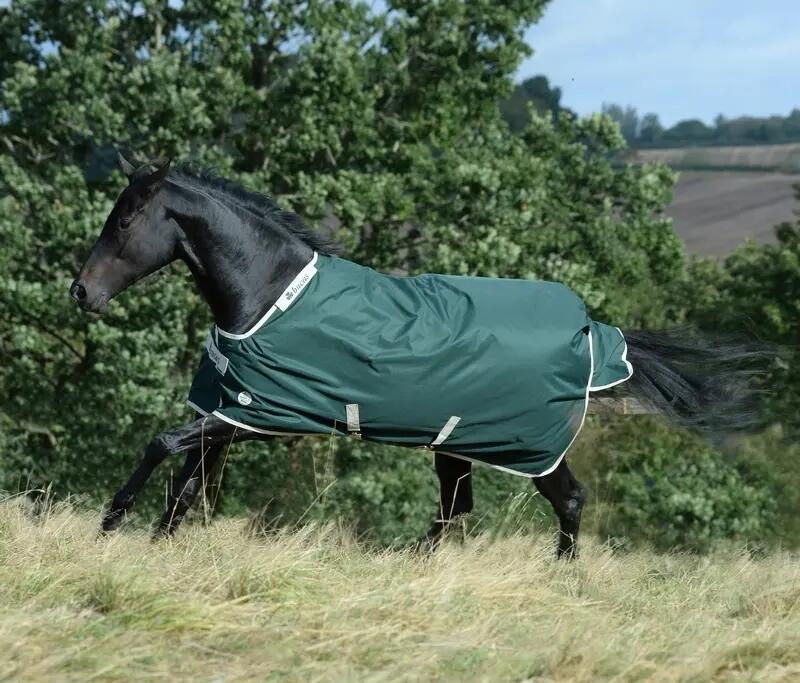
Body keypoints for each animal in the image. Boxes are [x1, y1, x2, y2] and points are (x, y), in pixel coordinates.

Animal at [70, 154, 765, 557]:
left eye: (125, 221)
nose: (81, 292)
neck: (268, 294)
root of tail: (593, 331)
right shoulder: (228, 413)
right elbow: (186, 485)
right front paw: (158, 545)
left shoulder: (256, 415)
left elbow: (162, 446)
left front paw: (110, 525)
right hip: (457, 442)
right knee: (457, 510)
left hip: (528, 446)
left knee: (566, 501)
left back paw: (560, 579)